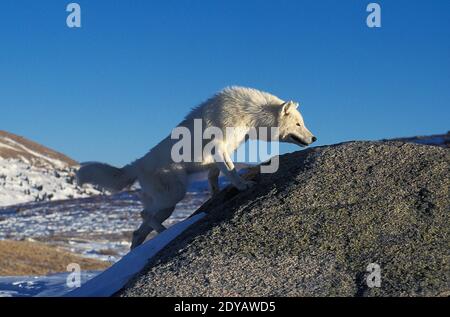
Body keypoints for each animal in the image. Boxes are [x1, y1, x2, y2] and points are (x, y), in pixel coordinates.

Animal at [76, 86, 316, 247]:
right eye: (298, 124)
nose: (314, 138)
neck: (247, 114)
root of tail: (137, 164)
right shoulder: (220, 148)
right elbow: (230, 171)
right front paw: (243, 185)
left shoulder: (221, 154)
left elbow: (215, 175)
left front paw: (216, 193)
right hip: (174, 195)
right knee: (144, 214)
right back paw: (166, 232)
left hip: (168, 205)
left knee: (138, 230)